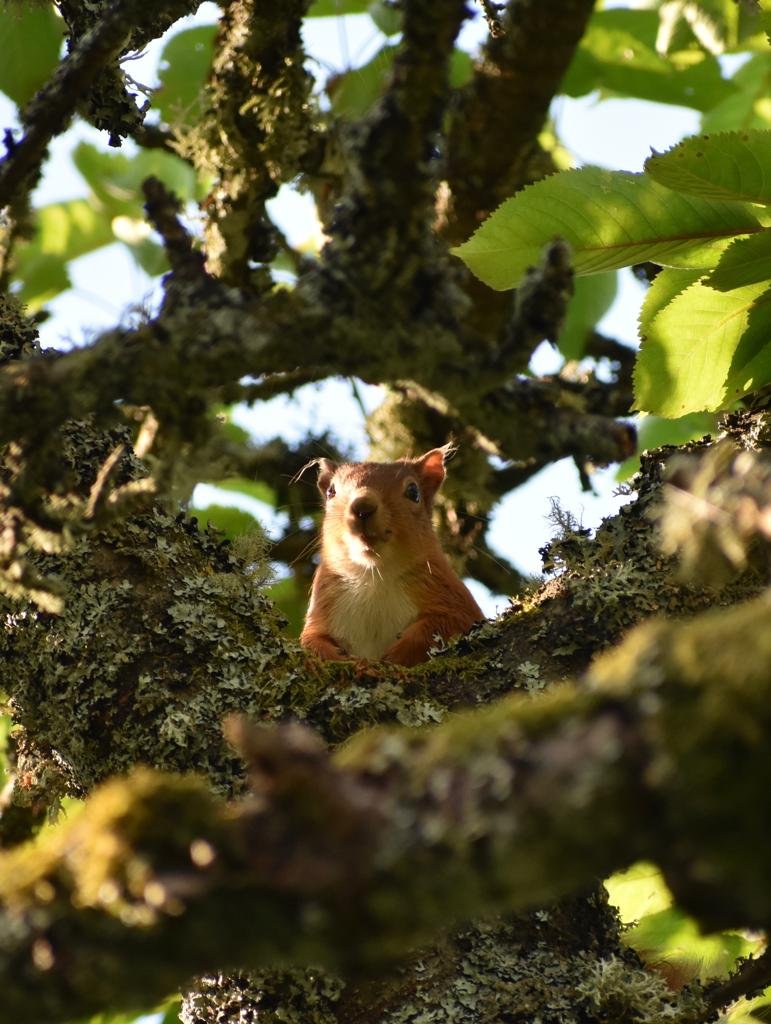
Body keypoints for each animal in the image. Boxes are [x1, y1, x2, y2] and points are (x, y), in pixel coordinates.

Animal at [298, 444, 481, 667]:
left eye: (413, 492)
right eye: (331, 491)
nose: (362, 506)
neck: (375, 577)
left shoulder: (454, 599)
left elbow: (445, 625)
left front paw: (394, 657)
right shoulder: (324, 603)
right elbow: (311, 640)